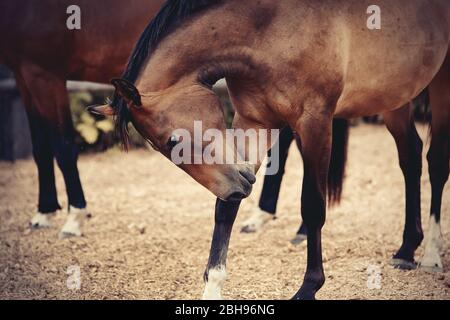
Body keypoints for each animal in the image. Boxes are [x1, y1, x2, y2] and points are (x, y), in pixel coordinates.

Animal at [0, 0, 163, 238]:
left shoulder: (45, 75)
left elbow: (63, 147)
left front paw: (75, 218)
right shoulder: (23, 76)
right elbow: (41, 148)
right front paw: (44, 213)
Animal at [93, 0, 448, 300]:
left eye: (173, 141)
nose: (237, 187)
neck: (272, 29)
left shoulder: (315, 124)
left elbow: (313, 206)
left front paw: (309, 288)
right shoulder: (254, 122)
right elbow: (225, 211)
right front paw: (212, 289)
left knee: (436, 163)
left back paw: (431, 255)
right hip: (395, 97)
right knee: (411, 157)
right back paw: (406, 250)